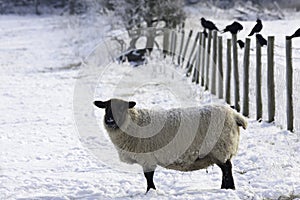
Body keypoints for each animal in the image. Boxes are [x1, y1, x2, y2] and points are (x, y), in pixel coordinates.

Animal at [93, 98, 246, 192]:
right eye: (106, 108)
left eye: (121, 108)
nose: (109, 120)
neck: (134, 122)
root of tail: (234, 115)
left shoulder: (147, 157)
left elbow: (148, 176)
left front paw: (150, 191)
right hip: (218, 151)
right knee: (225, 169)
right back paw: (225, 188)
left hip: (221, 148)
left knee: (227, 168)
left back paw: (229, 188)